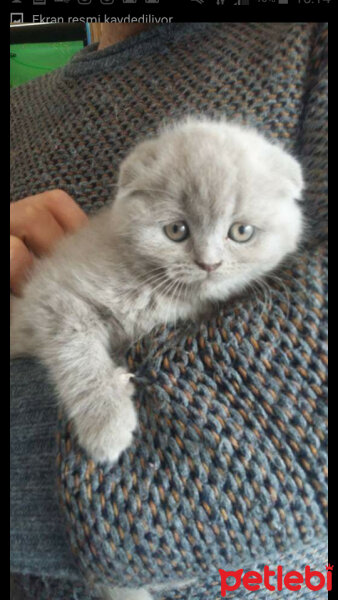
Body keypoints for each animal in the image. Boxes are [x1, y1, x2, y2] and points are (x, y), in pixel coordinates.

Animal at [9, 116, 304, 468]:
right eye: (177, 230)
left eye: (241, 231)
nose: (209, 263)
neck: (153, 288)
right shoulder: (51, 296)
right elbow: (78, 356)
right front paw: (107, 422)